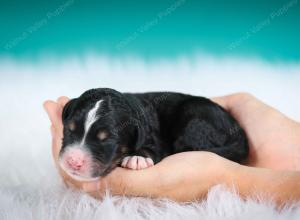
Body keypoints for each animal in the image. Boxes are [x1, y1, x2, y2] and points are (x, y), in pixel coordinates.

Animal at [59, 87, 248, 180]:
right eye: (69, 129)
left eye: (108, 140)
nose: (73, 161)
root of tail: (237, 130)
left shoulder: (155, 137)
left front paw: (137, 158)